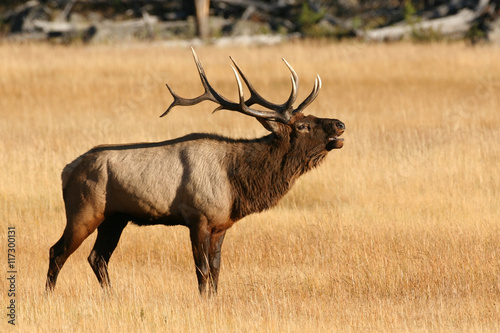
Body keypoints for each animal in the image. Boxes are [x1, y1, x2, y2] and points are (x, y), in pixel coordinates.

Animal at [46, 48, 344, 294]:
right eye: (302, 126)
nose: (340, 124)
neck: (236, 183)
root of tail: (66, 171)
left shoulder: (221, 224)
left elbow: (216, 269)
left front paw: (214, 299)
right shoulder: (197, 217)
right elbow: (202, 270)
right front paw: (203, 301)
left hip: (115, 218)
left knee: (97, 257)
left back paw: (111, 297)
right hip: (84, 209)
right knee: (57, 251)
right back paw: (49, 296)